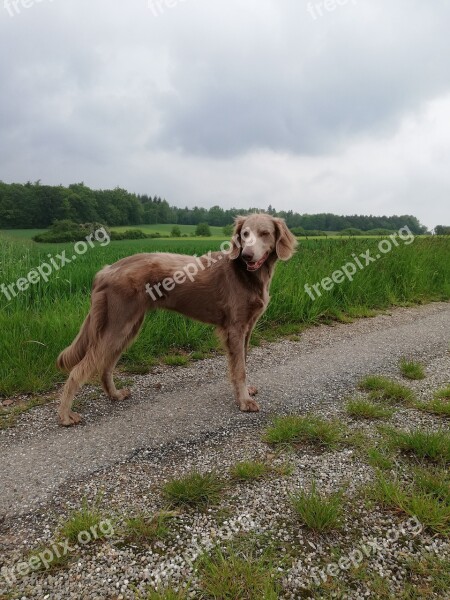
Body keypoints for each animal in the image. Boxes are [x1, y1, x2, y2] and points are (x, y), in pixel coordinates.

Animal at [57, 213, 298, 424]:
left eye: (265, 233)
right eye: (245, 234)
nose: (247, 254)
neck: (246, 274)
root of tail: (105, 270)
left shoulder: (247, 328)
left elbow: (243, 363)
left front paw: (245, 393)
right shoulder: (235, 329)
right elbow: (239, 369)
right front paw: (244, 401)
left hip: (128, 328)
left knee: (105, 367)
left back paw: (115, 395)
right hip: (118, 326)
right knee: (79, 370)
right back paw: (66, 416)